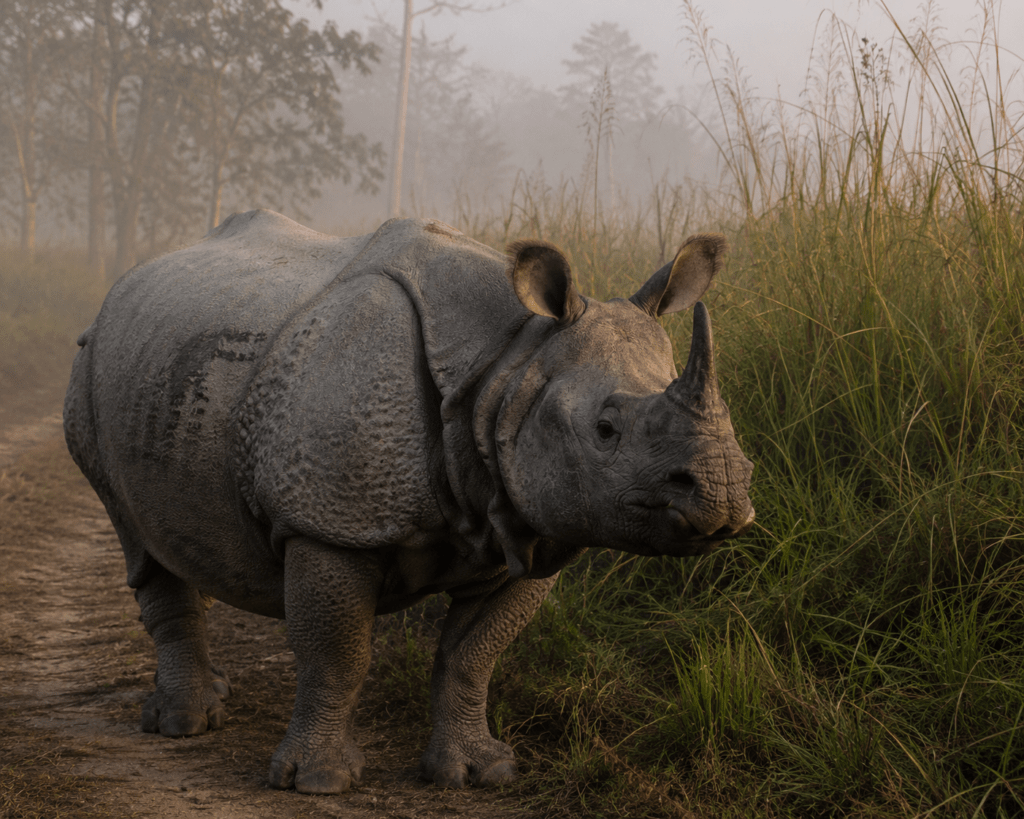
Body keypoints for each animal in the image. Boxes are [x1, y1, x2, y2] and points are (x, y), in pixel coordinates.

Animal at [64, 209, 755, 794]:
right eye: (606, 429)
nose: (723, 493)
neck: (510, 369)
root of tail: (125, 282)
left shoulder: (526, 520)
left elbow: (473, 655)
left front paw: (480, 772)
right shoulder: (327, 521)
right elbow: (337, 654)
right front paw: (317, 782)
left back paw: (210, 695)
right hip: (90, 372)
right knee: (135, 535)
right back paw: (182, 724)